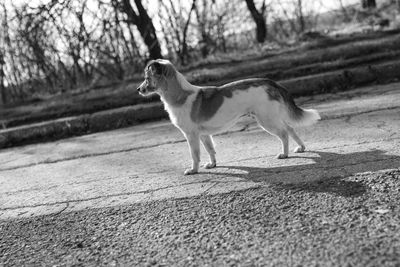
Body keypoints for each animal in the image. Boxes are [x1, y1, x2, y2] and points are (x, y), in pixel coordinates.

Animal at [136, 59, 320, 176]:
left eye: (146, 78)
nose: (138, 90)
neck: (181, 95)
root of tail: (270, 82)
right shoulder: (204, 135)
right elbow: (210, 150)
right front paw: (212, 164)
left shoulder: (191, 135)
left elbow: (195, 155)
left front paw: (193, 170)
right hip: (272, 117)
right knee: (290, 128)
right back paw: (301, 147)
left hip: (267, 120)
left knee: (284, 134)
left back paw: (284, 154)